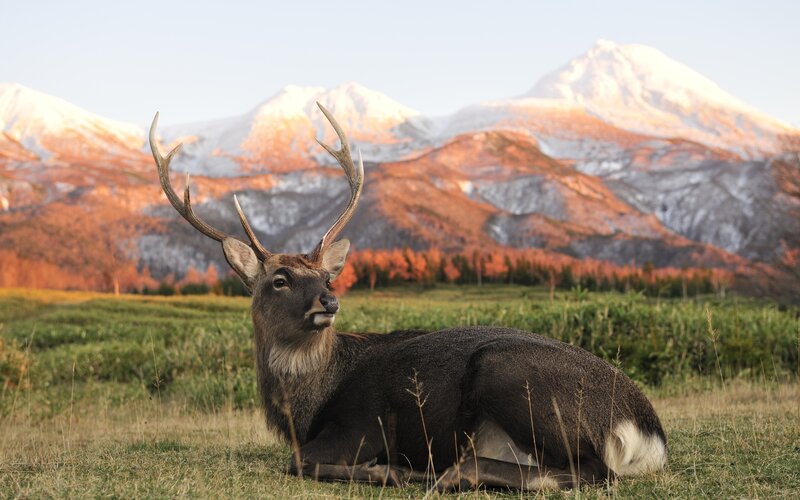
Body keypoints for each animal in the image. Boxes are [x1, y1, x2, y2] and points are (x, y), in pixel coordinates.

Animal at [149, 103, 667, 492]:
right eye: (279, 279)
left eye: (327, 277)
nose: (328, 303)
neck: (305, 407)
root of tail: (647, 431)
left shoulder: (361, 424)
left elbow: (298, 462)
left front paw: (386, 469)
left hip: (509, 374)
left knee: (593, 471)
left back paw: (438, 472)